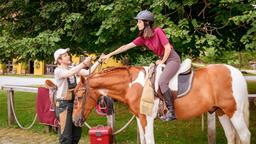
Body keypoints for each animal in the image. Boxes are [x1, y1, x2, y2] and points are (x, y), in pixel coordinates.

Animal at [71, 64, 250, 143]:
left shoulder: (147, 119)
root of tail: (237, 72)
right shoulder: (140, 118)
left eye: (79, 97)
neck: (133, 84)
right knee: (231, 135)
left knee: (244, 135)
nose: (74, 120)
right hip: (221, 112)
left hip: (234, 112)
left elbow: (149, 140)